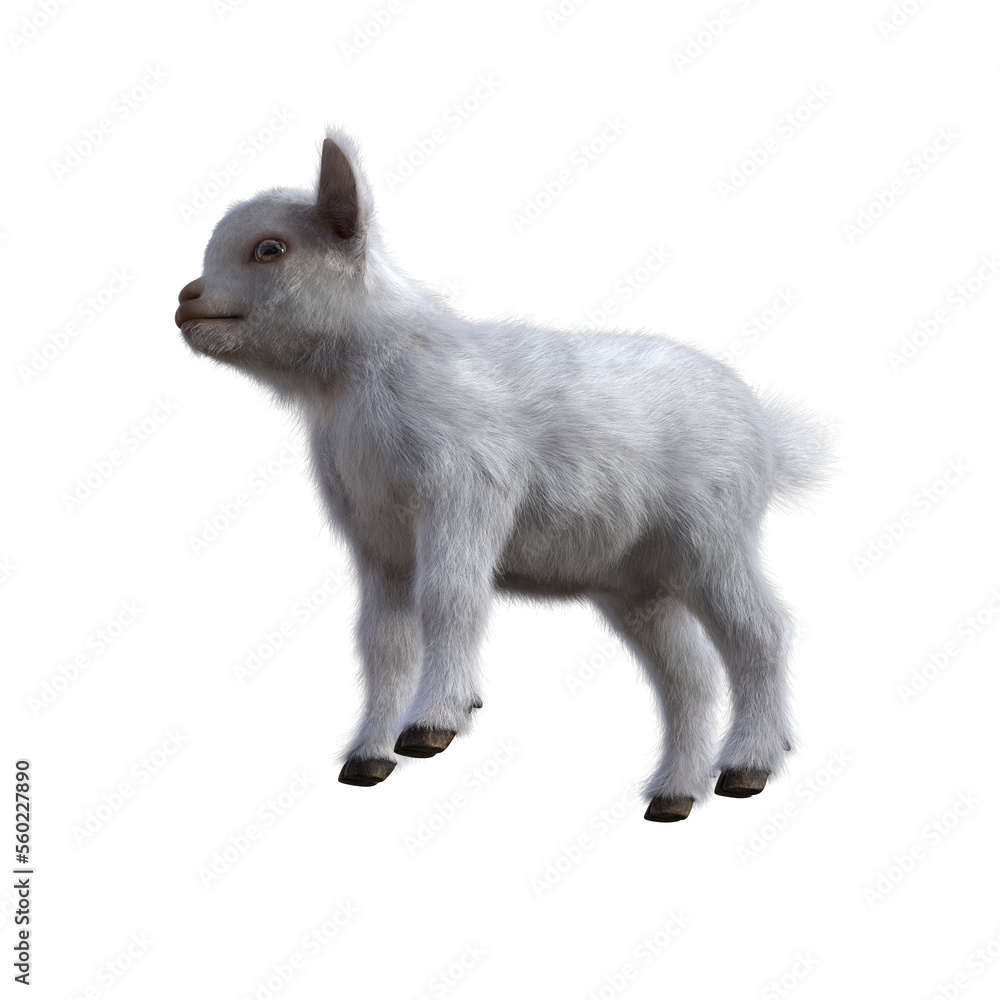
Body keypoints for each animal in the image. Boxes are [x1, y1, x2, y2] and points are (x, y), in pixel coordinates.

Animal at [175, 128, 827, 822]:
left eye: (270, 248)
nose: (187, 299)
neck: (357, 380)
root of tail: (768, 435)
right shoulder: (376, 536)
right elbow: (382, 641)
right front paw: (368, 758)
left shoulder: (464, 488)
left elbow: (449, 597)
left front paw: (431, 726)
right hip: (638, 583)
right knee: (690, 677)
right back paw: (674, 796)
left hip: (713, 535)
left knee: (761, 634)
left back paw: (747, 768)